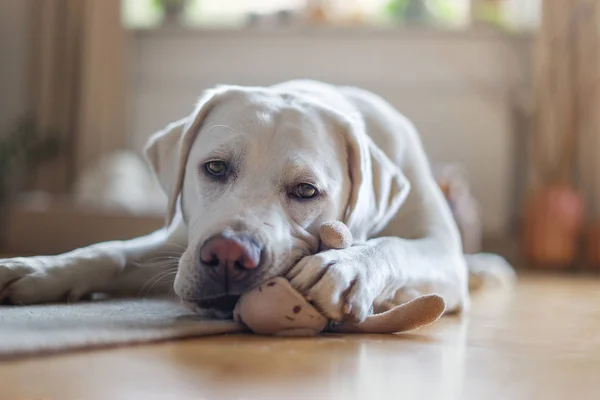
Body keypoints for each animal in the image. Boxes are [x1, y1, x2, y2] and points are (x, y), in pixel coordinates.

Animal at [0, 81, 512, 322]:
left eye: (306, 191)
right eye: (214, 168)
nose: (228, 254)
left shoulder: (440, 249)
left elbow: (394, 247)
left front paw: (344, 267)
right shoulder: (182, 240)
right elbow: (111, 252)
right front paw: (36, 269)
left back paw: (490, 268)